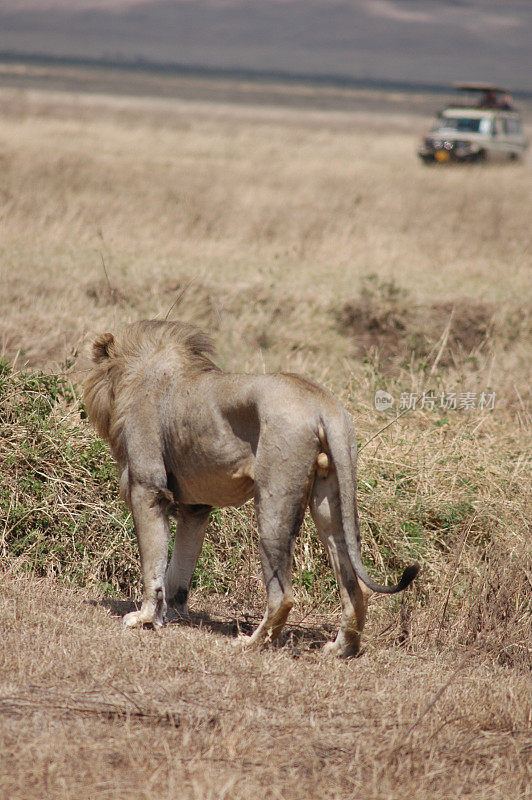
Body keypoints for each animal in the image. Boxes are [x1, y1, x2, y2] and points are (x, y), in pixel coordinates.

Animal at [83, 318, 418, 656]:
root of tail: (323, 404)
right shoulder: (196, 505)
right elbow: (180, 566)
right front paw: (174, 615)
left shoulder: (147, 487)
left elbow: (153, 562)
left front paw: (145, 618)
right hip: (330, 496)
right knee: (353, 583)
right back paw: (340, 648)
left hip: (273, 497)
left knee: (283, 594)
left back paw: (253, 642)